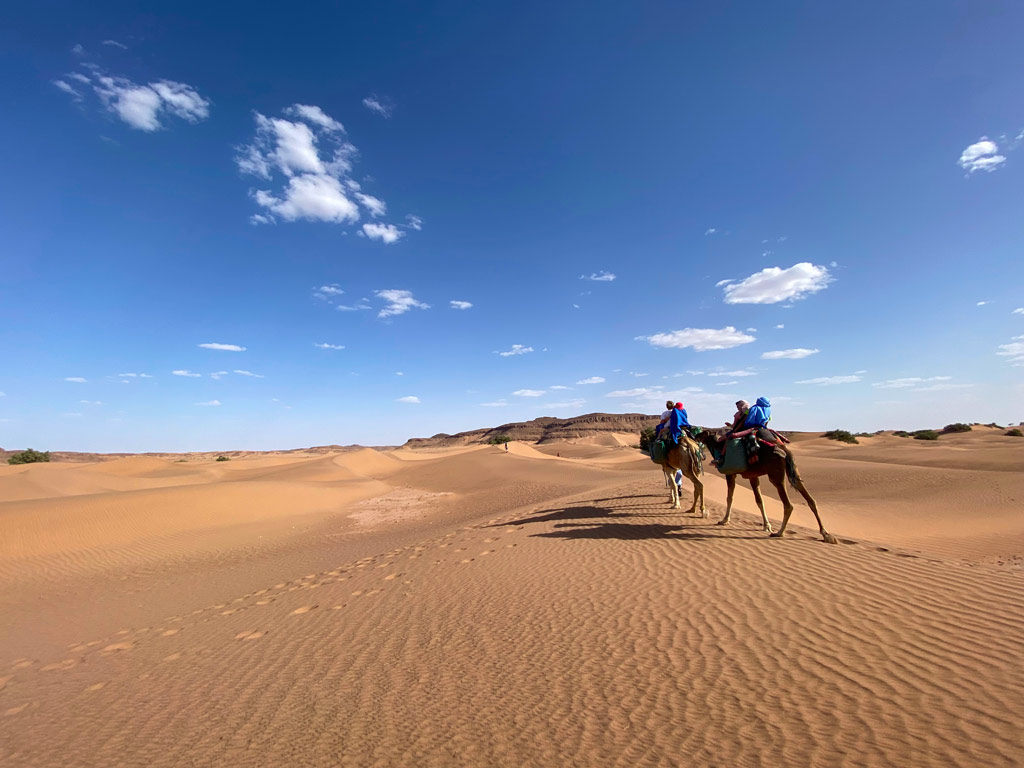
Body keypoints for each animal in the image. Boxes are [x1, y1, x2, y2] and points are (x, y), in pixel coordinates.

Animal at [692, 430, 835, 544]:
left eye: (703, 433)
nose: (695, 435)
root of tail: (784, 450)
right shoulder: (753, 476)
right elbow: (759, 500)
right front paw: (766, 526)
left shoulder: (730, 474)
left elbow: (729, 497)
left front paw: (724, 520)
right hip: (794, 471)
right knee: (811, 500)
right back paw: (826, 534)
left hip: (775, 474)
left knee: (788, 504)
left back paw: (779, 532)